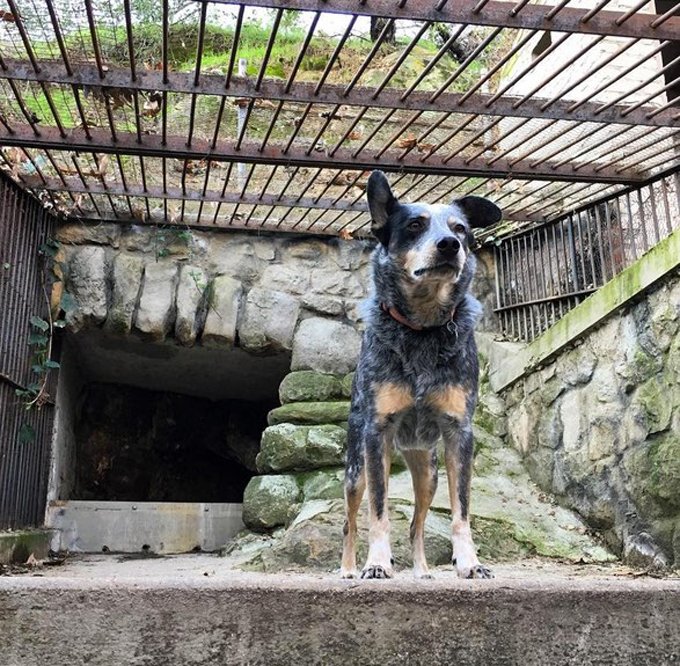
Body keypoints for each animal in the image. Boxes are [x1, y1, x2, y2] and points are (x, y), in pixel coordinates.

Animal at [342, 170, 502, 576]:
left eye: (461, 228)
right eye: (415, 225)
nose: (449, 245)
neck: (423, 329)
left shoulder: (459, 433)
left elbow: (461, 512)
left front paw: (470, 562)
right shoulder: (377, 434)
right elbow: (378, 513)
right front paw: (377, 563)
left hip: (428, 471)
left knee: (417, 523)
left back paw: (422, 571)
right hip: (356, 468)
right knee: (350, 521)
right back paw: (348, 568)